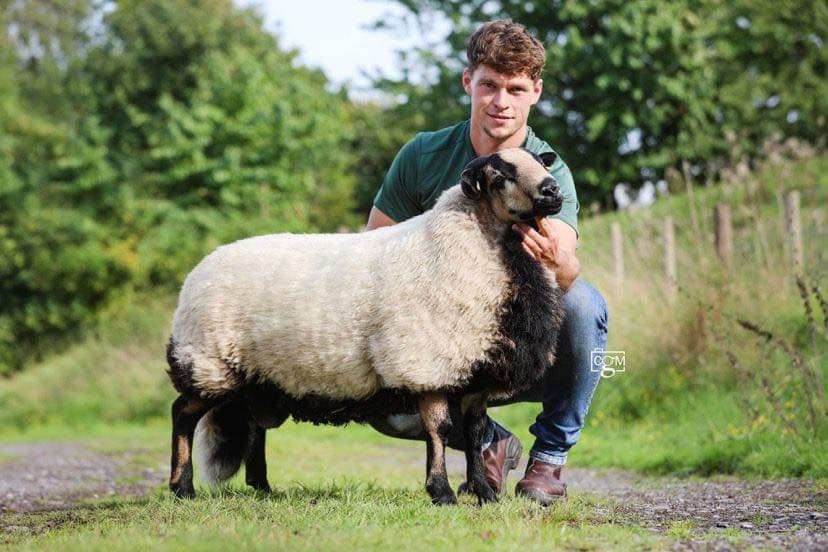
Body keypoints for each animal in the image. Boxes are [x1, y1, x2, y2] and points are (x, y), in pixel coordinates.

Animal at [168, 147, 568, 504]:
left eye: (540, 162)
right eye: (500, 177)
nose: (552, 190)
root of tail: (198, 270)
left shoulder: (476, 371)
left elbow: (474, 434)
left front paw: (484, 493)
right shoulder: (426, 364)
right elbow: (440, 430)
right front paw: (441, 493)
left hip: (258, 374)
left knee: (253, 425)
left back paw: (262, 487)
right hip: (210, 361)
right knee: (182, 413)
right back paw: (182, 488)